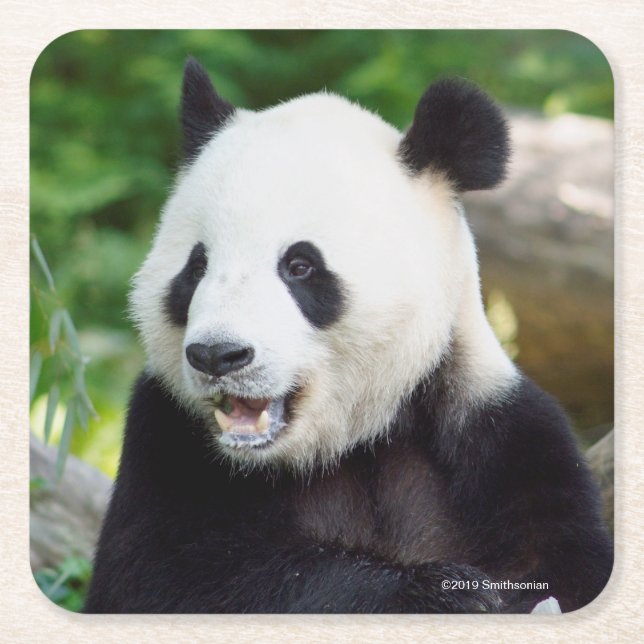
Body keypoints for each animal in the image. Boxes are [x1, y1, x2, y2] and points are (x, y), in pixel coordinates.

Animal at [85, 58, 613, 613]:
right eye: (197, 266)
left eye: (300, 266)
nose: (216, 354)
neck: (349, 443)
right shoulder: (164, 437)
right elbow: (166, 579)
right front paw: (442, 593)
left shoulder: (501, 435)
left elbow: (563, 567)